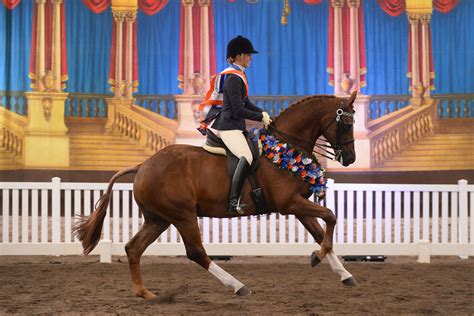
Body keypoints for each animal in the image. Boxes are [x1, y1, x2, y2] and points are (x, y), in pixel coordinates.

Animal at [76, 90, 358, 298]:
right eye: (345, 124)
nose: (350, 159)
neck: (286, 147)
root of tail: (143, 165)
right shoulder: (290, 204)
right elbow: (331, 217)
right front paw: (316, 257)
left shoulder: (298, 205)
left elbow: (321, 232)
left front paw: (343, 273)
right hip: (182, 216)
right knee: (196, 252)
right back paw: (237, 286)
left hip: (159, 219)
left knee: (134, 249)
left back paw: (144, 292)